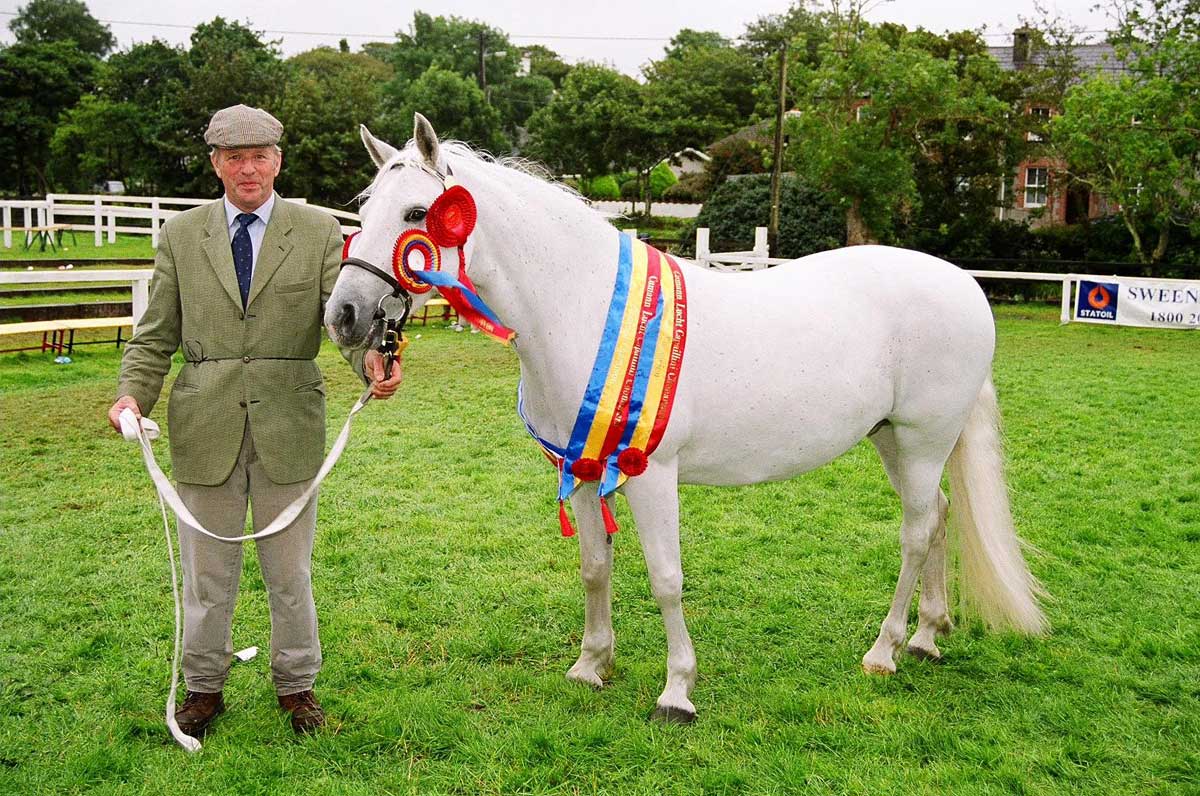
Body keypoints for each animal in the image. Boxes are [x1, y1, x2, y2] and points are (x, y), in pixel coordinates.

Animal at [325, 113, 1047, 722]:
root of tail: (962, 284)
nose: (344, 315)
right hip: (894, 441)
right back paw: (927, 635)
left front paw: (677, 690)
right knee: (942, 516)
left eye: (418, 213)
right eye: (364, 209)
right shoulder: (580, 469)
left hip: (923, 442)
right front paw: (591, 665)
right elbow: (595, 568)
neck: (583, 306)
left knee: (917, 532)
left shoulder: (650, 474)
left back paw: (885, 650)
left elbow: (666, 579)